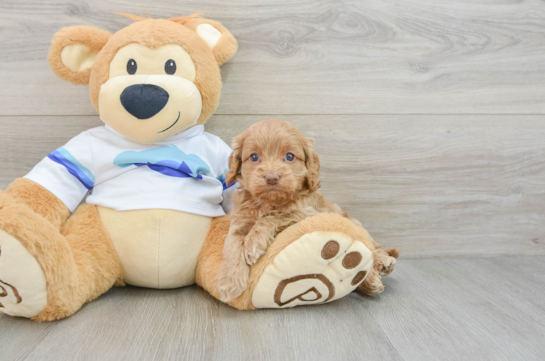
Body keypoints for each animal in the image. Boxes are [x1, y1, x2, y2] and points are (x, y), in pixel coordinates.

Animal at [217, 119, 400, 300]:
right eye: (254, 157)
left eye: (290, 156)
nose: (272, 178)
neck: (270, 202)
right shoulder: (240, 219)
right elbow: (232, 242)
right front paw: (229, 282)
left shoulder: (307, 214)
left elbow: (275, 217)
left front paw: (254, 243)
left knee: (373, 249)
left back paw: (379, 268)